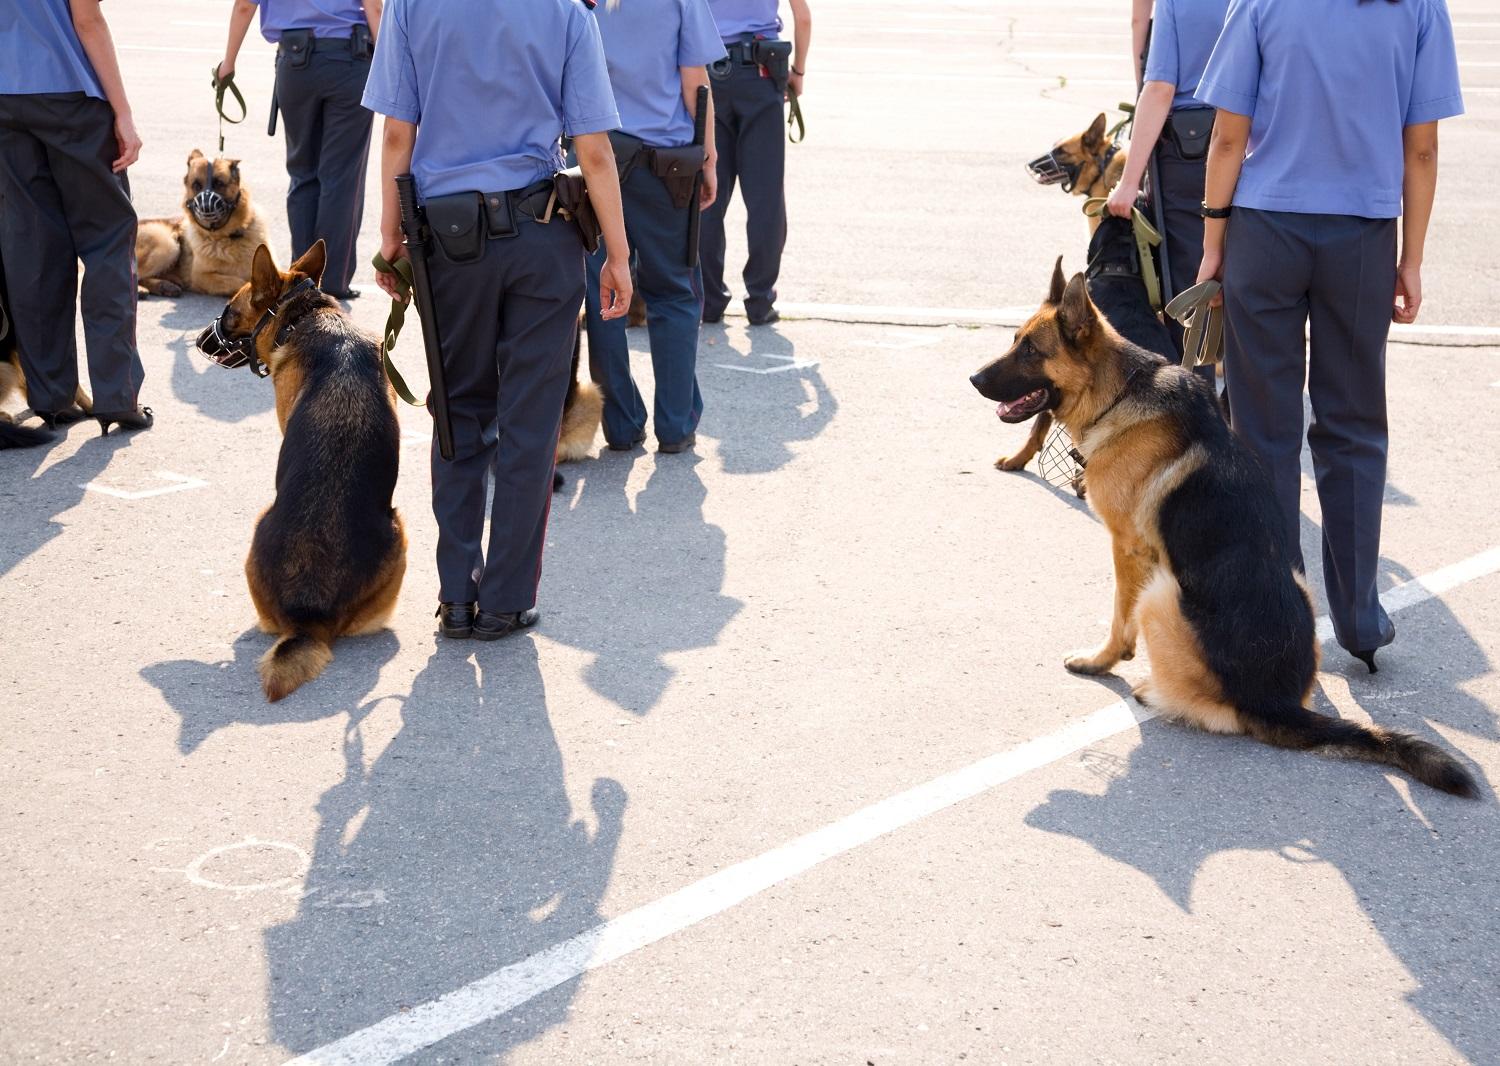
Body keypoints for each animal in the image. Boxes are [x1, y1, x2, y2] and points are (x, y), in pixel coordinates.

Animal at [137, 147, 270, 298]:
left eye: (219, 183)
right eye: (196, 185)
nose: (206, 207)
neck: (228, 237)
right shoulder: (202, 277)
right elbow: (239, 282)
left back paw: (163, 286)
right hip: (168, 245)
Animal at [972, 265, 1476, 803]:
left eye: (1030, 350)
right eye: (1015, 341)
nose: (973, 379)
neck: (1118, 393)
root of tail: (1278, 705)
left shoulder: (1128, 550)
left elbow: (1118, 619)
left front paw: (1101, 661)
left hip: (1162, 594)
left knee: (1211, 709)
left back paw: (1155, 690)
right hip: (1299, 584)